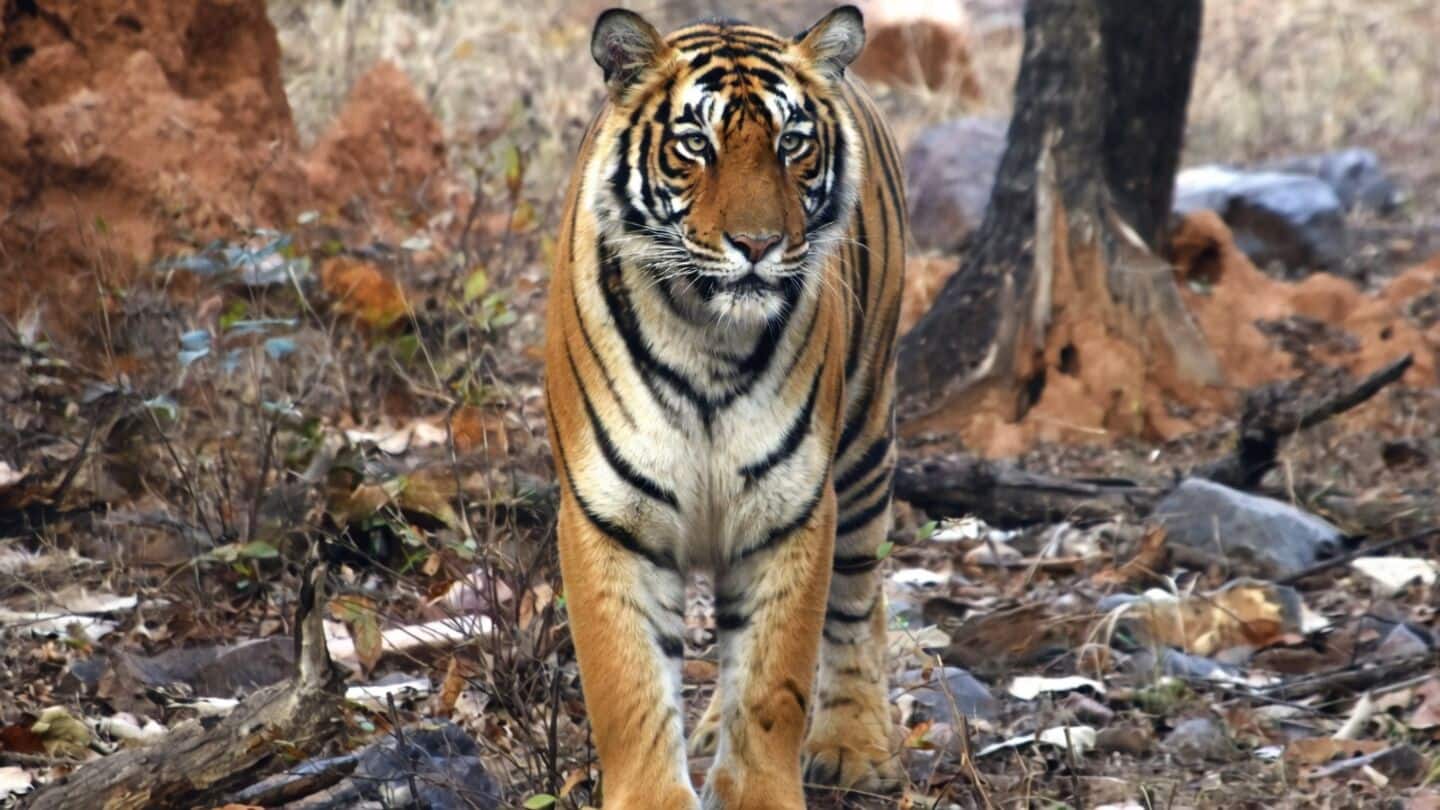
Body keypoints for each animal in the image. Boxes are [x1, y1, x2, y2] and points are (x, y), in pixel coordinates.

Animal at [543, 6, 906, 808]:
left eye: (791, 143)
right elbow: (629, 687)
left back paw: (855, 744)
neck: (706, 335)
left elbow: (772, 682)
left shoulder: (790, 510)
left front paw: (758, 791)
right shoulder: (608, 515)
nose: (758, 244)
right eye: (695, 146)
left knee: (858, 600)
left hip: (866, 441)